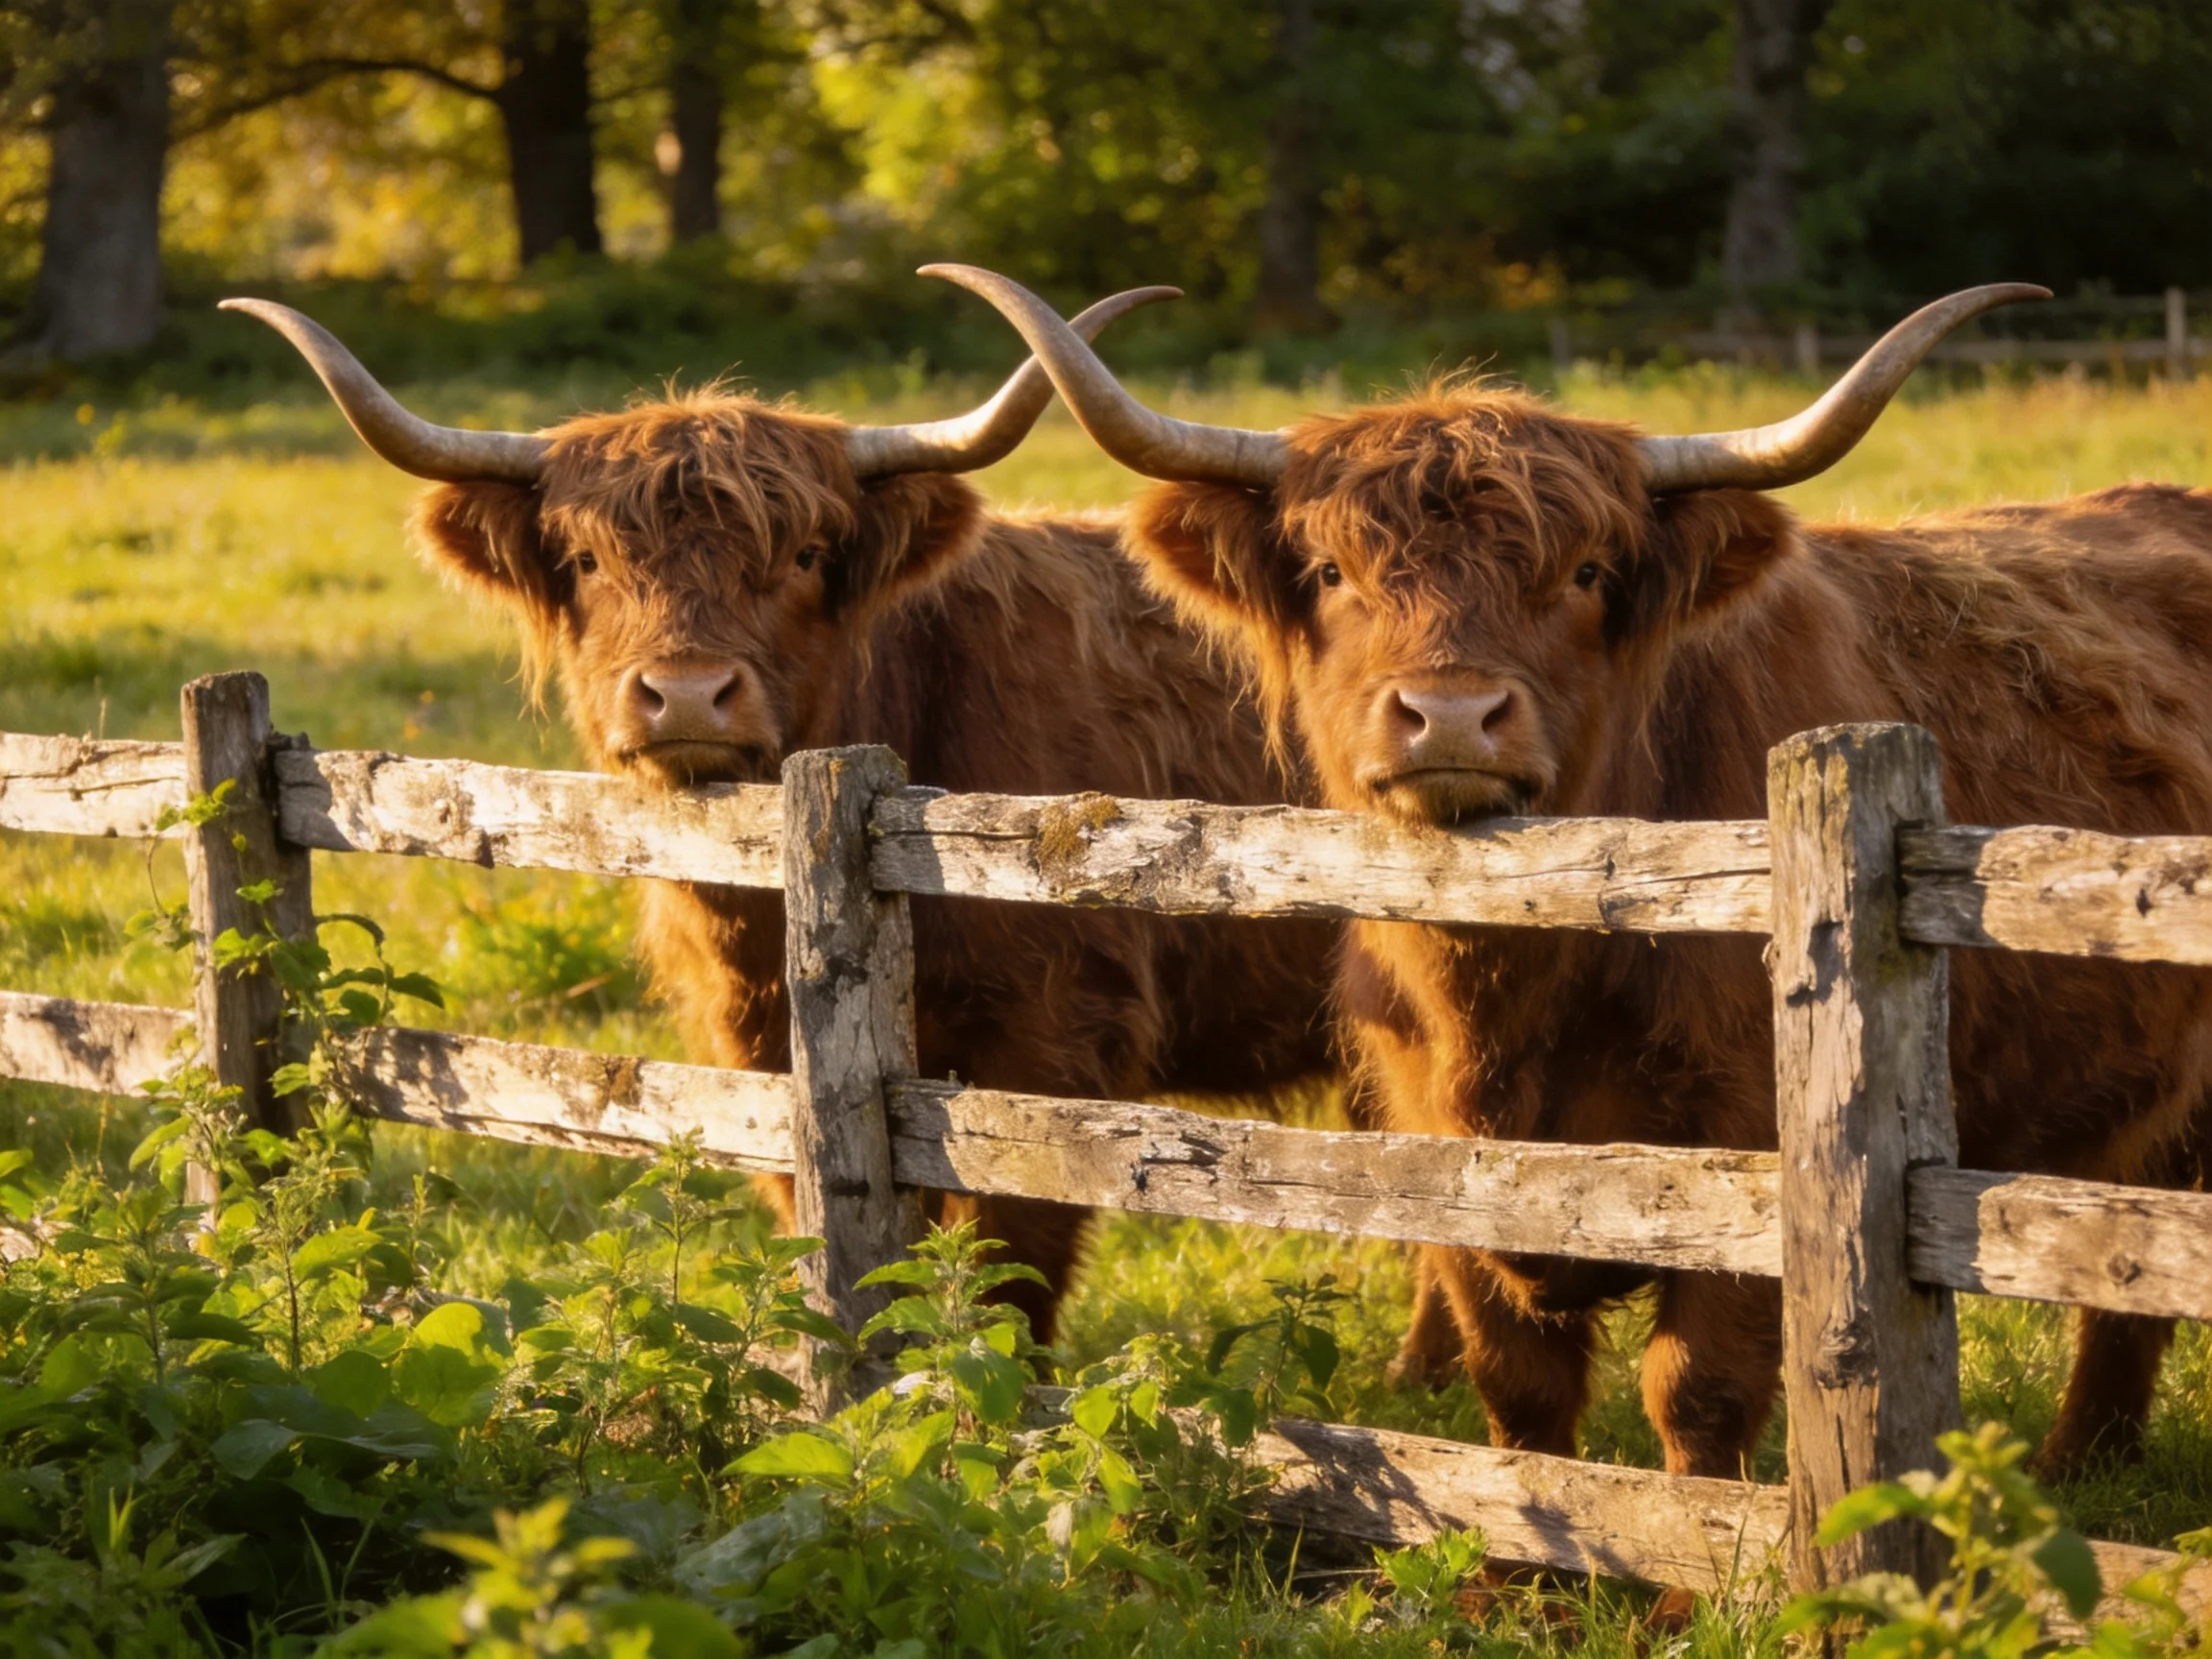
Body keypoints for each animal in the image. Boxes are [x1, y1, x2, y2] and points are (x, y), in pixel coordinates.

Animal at [227, 293, 1342, 1340]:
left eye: (805, 555)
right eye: (585, 561)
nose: (684, 694)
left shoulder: (1059, 1043)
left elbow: (998, 1283)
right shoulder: (754, 1050)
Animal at [935, 262, 2212, 1482]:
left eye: (1591, 572)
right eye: (1333, 571)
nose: (1451, 714)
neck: (1512, 989)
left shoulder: (1755, 1169)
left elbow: (1697, 1391)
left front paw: (1706, 1545)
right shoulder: (1440, 1164)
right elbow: (1521, 1393)